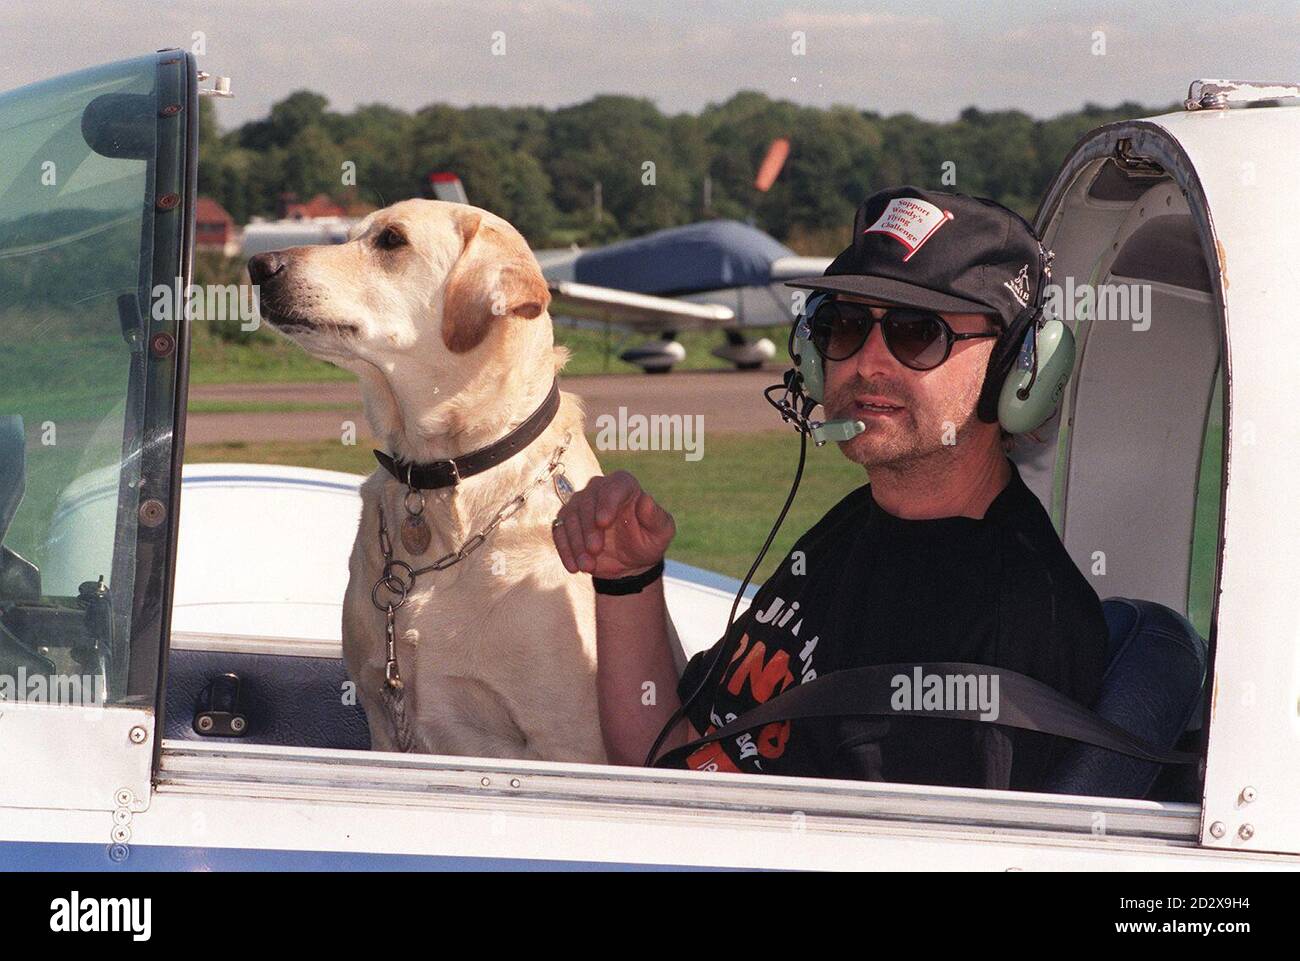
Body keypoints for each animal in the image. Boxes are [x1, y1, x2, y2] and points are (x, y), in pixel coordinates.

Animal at [250, 198, 605, 764]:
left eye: (392, 240)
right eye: (348, 236)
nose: (258, 266)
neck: (438, 477)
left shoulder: (568, 739)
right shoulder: (381, 711)